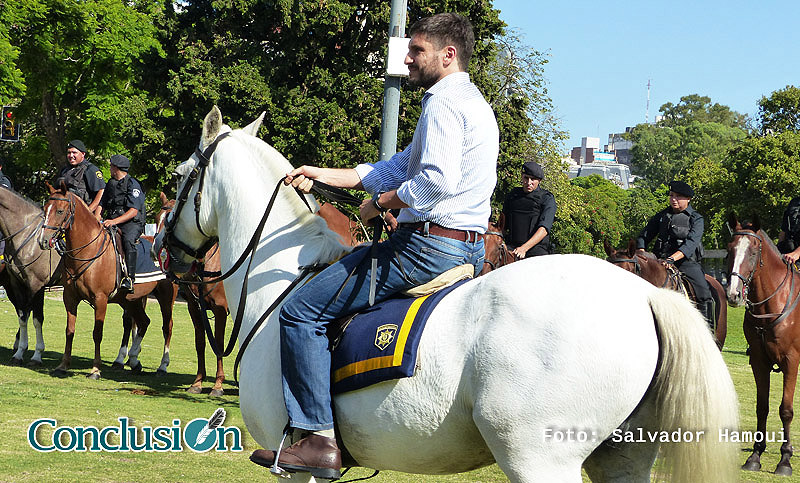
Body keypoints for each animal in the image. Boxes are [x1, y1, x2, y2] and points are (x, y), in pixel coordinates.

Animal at [38, 187, 176, 380]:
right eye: (45, 209)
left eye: (59, 211)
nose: (43, 240)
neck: (88, 250)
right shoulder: (70, 298)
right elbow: (69, 330)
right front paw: (63, 365)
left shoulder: (100, 299)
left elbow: (97, 333)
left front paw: (95, 370)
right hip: (131, 300)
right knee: (143, 322)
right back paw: (133, 358)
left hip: (166, 298)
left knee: (166, 327)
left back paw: (162, 365)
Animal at [155, 107, 736, 483]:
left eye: (182, 176)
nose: (164, 250)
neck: (279, 284)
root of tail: (644, 296)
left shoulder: (298, 466)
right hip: (622, 459)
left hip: (539, 459)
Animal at [728, 213, 800, 476]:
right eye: (730, 250)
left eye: (752, 252)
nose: (734, 294)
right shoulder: (759, 362)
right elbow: (762, 406)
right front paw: (755, 455)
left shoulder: (791, 361)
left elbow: (786, 410)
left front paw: (785, 459)